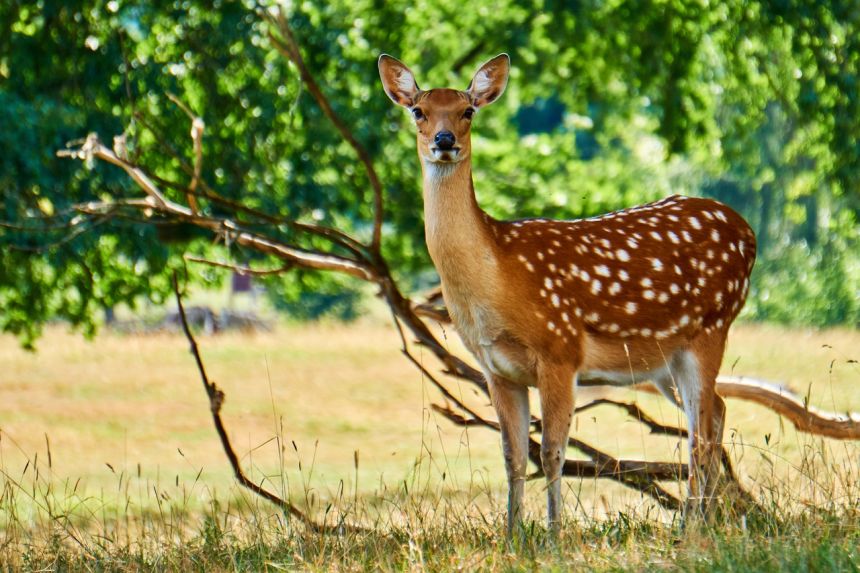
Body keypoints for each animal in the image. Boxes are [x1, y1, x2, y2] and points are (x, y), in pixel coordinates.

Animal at [378, 53, 757, 536]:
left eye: (468, 111)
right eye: (418, 111)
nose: (444, 141)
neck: (496, 279)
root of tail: (747, 231)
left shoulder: (559, 350)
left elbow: (552, 451)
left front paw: (555, 535)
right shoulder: (496, 369)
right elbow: (513, 455)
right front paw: (512, 535)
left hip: (711, 328)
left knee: (701, 433)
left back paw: (691, 526)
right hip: (663, 359)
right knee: (716, 412)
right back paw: (702, 521)